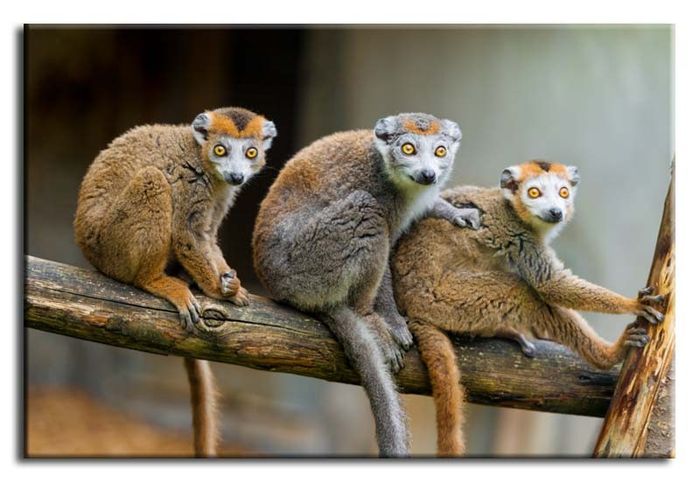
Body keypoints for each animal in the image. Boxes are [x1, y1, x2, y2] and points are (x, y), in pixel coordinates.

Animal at [74, 107, 277, 457]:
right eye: (221, 149)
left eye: (251, 153)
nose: (237, 176)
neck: (206, 164)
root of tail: (90, 252)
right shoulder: (191, 183)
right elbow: (188, 235)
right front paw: (217, 289)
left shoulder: (220, 193)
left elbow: (207, 236)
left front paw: (230, 283)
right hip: (112, 245)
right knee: (152, 180)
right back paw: (156, 279)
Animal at [252, 113, 480, 456]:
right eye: (409, 149)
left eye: (440, 152)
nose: (428, 174)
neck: (393, 176)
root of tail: (276, 287)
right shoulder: (381, 192)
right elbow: (385, 250)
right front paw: (392, 319)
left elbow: (427, 205)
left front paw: (454, 211)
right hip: (308, 265)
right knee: (365, 210)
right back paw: (366, 316)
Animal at [391, 160, 665, 456]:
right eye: (534, 193)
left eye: (563, 193)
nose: (556, 211)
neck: (517, 213)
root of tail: (408, 307)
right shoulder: (521, 237)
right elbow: (551, 285)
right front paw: (632, 304)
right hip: (443, 299)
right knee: (520, 292)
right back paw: (609, 354)